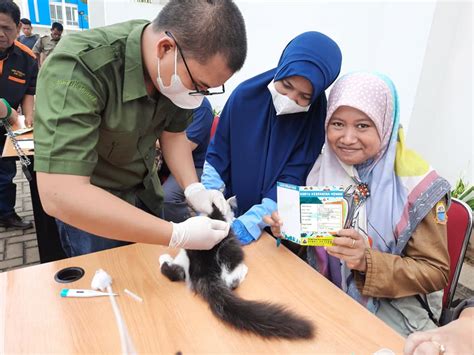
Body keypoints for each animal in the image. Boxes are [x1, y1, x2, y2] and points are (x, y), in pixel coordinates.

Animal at [159, 207, 314, 340]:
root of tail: (204, 272)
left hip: (186, 257)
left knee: (176, 272)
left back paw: (163, 259)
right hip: (229, 247)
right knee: (230, 279)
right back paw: (242, 270)